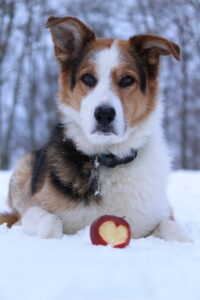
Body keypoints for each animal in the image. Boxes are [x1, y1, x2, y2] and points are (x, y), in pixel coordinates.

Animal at [0, 15, 190, 241]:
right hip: (23, 167)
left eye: (127, 80)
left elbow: (174, 229)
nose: (104, 114)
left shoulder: (160, 213)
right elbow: (51, 223)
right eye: (88, 78)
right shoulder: (33, 209)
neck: (107, 157)